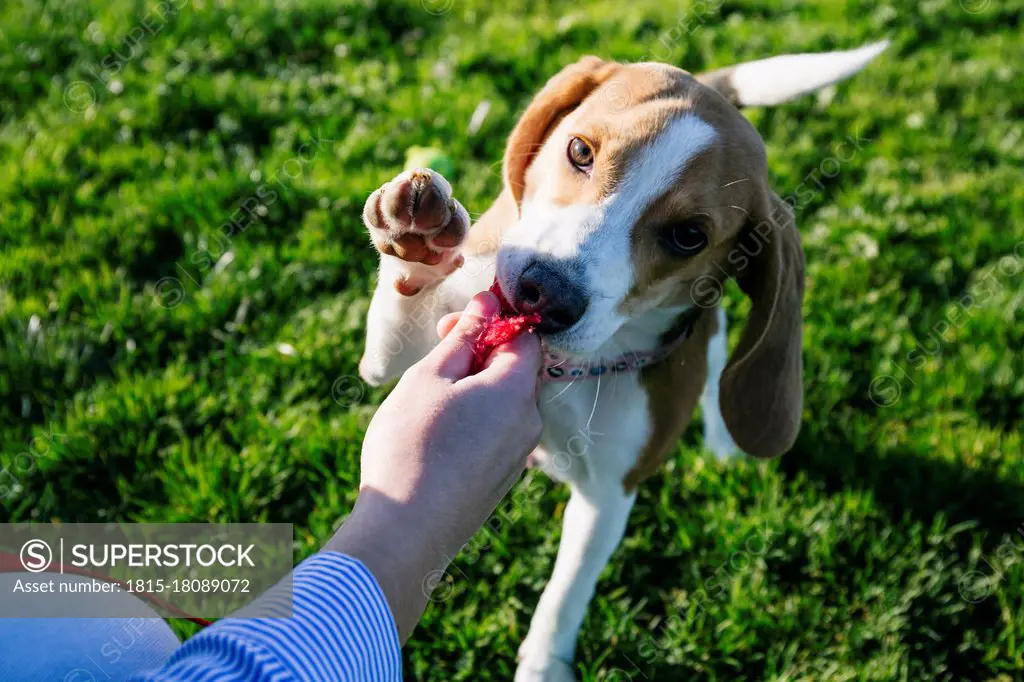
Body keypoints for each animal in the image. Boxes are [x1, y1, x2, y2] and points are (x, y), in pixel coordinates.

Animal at [360, 41, 888, 675]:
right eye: (579, 152)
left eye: (688, 236)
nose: (545, 292)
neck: (566, 366)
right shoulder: (410, 344)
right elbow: (394, 331)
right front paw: (415, 241)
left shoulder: (611, 493)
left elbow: (567, 590)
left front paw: (543, 664)